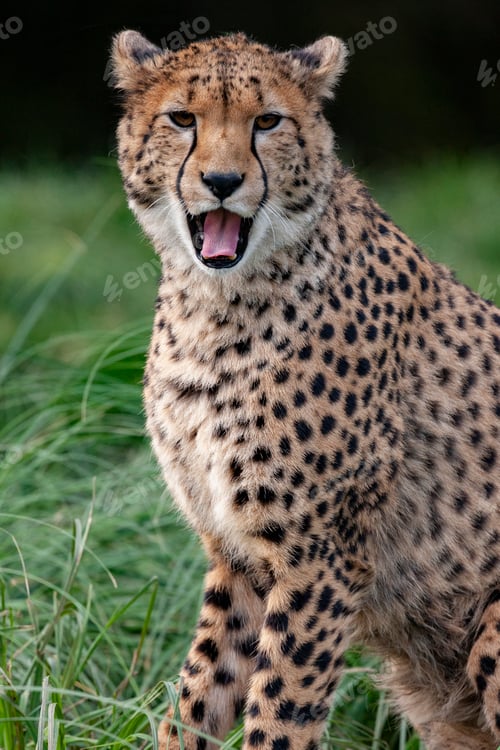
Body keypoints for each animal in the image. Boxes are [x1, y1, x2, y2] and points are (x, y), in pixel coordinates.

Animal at [109, 30, 500, 750]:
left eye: (268, 122)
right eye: (182, 119)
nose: (223, 183)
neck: (215, 308)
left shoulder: (319, 557)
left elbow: (279, 709)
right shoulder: (236, 557)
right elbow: (198, 696)